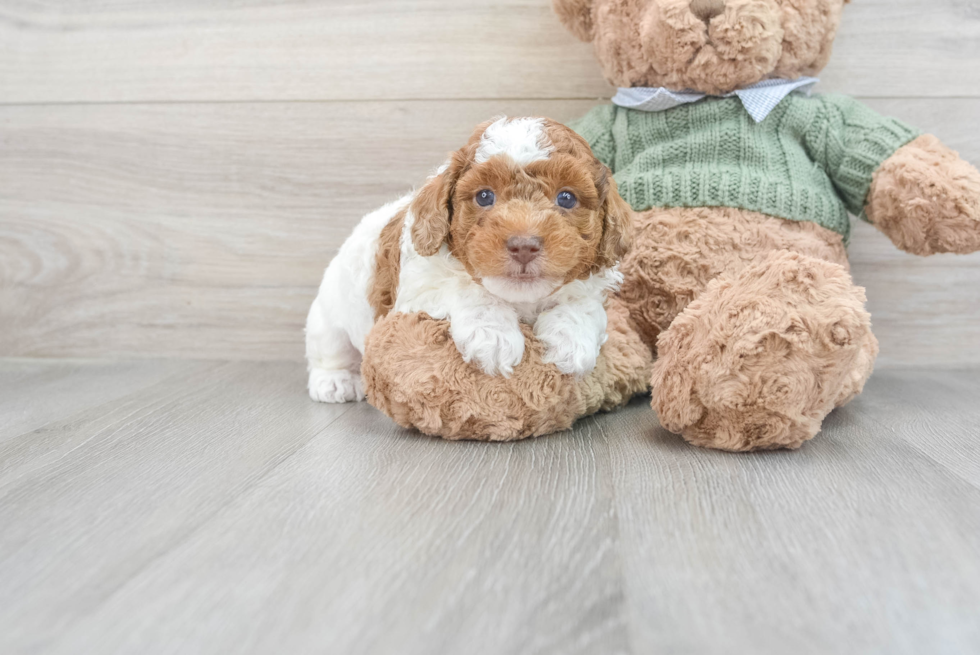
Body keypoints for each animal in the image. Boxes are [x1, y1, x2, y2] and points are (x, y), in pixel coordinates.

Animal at [302, 119, 636, 404]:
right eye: (484, 196)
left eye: (566, 198)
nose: (523, 246)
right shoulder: (416, 293)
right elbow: (467, 290)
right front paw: (494, 337)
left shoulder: (592, 288)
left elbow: (584, 307)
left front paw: (572, 342)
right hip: (328, 319)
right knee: (330, 351)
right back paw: (336, 382)